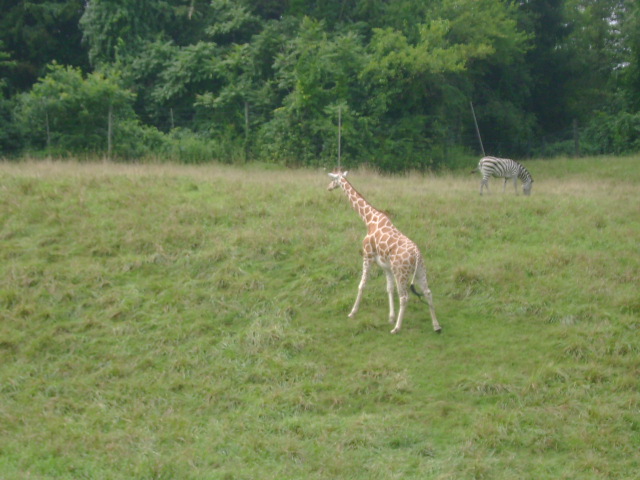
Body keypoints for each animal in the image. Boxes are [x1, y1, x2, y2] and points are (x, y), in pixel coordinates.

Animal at [327, 169, 441, 334]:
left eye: (333, 179)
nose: (328, 187)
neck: (369, 219)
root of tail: (417, 255)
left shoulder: (367, 256)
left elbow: (362, 285)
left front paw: (353, 312)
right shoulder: (386, 266)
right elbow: (389, 289)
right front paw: (391, 317)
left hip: (402, 273)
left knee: (404, 297)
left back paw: (397, 328)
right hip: (420, 271)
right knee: (428, 292)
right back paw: (436, 325)